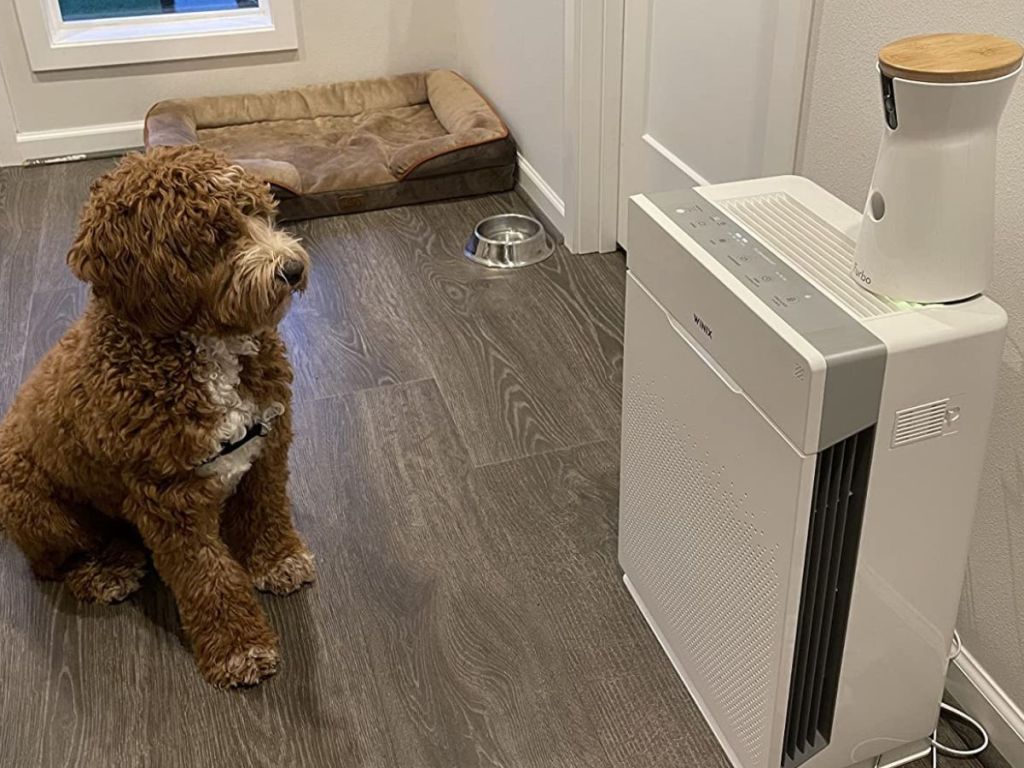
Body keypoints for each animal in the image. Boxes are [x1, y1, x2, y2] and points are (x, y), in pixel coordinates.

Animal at [0, 147, 313, 688]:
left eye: (258, 211)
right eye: (217, 235)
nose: (292, 268)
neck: (207, 348)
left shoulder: (268, 448)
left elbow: (267, 510)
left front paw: (279, 560)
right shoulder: (169, 499)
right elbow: (207, 576)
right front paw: (240, 647)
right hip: (31, 503)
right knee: (53, 564)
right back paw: (104, 571)